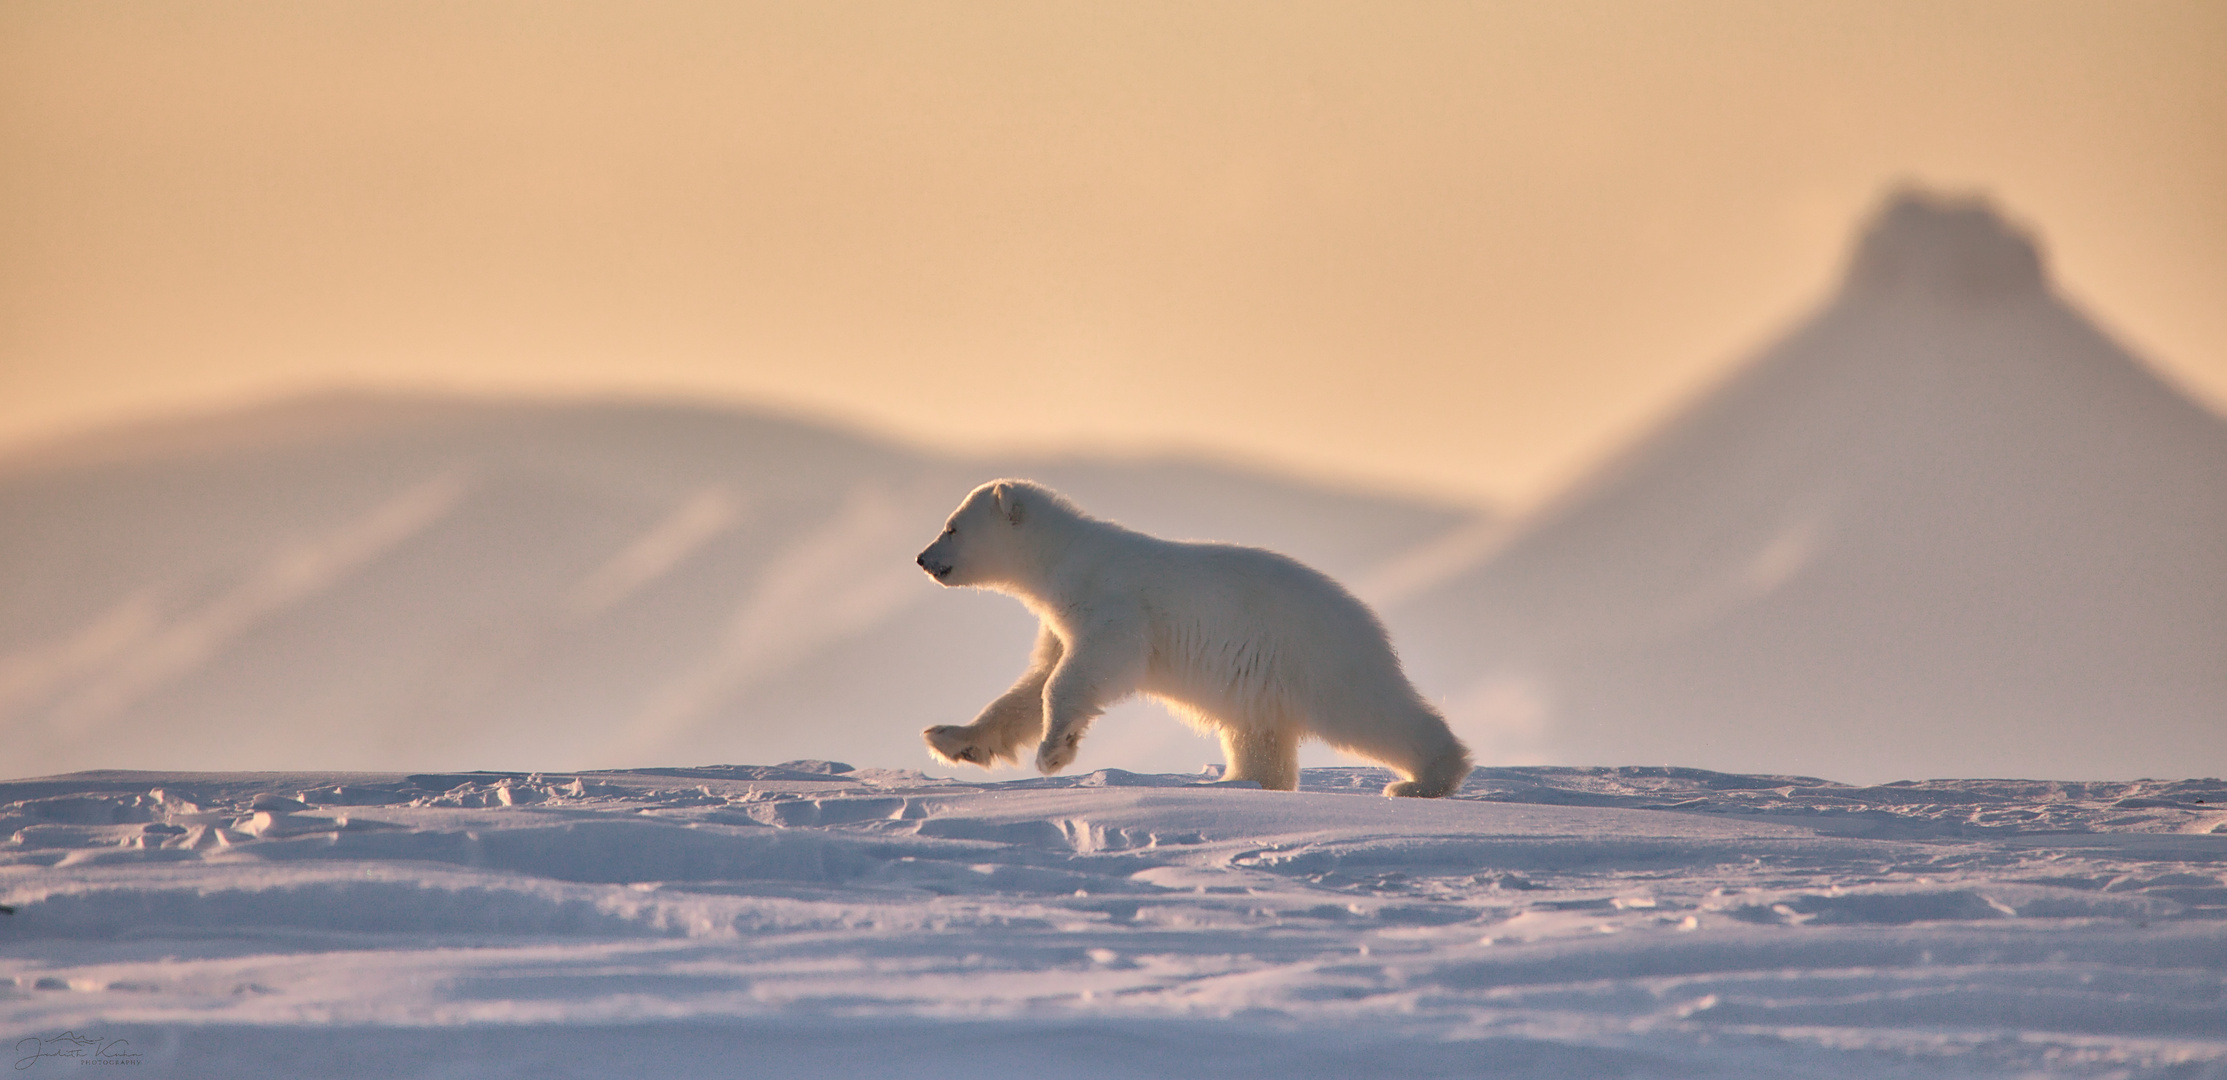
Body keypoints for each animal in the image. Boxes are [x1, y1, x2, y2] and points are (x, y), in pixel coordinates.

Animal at [913, 476, 1469, 797]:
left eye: (952, 527)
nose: (922, 558)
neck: (1062, 556)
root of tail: (1366, 616)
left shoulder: (1110, 601)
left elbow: (1087, 668)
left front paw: (1054, 752)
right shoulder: (1059, 619)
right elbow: (1032, 686)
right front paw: (951, 738)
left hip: (1316, 657)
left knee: (1370, 712)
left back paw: (1422, 781)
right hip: (1264, 682)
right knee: (1258, 736)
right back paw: (1239, 782)